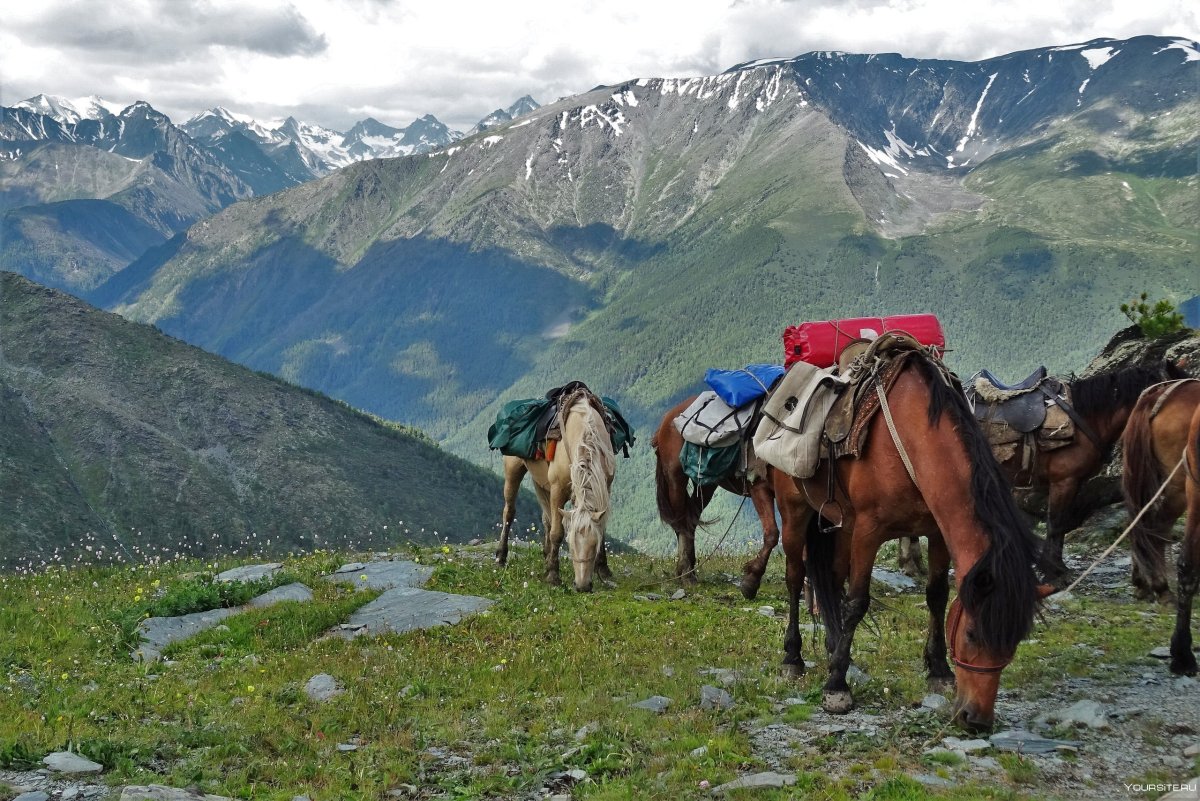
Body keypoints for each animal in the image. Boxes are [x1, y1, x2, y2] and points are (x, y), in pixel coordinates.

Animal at [494, 390, 614, 592]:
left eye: (595, 545)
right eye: (571, 546)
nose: (582, 586)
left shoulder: (605, 488)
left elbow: (601, 526)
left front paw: (604, 570)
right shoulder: (558, 489)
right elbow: (557, 532)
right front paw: (553, 575)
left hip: (541, 482)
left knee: (546, 518)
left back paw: (546, 554)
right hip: (513, 470)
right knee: (509, 512)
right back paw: (501, 557)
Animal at [652, 398, 782, 597]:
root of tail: (668, 418)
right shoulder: (759, 487)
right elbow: (772, 534)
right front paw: (751, 582)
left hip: (706, 483)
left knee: (691, 518)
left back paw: (690, 571)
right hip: (675, 478)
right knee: (682, 522)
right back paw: (686, 574)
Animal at [772, 347, 1046, 733]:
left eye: (1015, 642)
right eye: (972, 634)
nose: (976, 719)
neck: (914, 438)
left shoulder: (937, 532)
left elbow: (937, 595)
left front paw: (939, 670)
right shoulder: (868, 530)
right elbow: (857, 603)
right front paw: (837, 686)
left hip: (840, 523)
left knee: (832, 579)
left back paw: (833, 646)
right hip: (794, 510)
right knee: (796, 577)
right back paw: (793, 657)